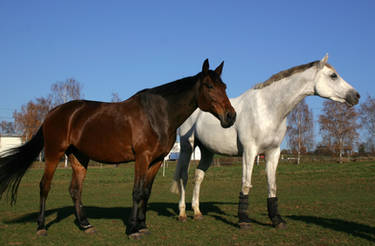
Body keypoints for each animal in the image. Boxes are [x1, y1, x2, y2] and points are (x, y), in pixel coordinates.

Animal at [0, 59, 236, 238]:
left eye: (225, 87)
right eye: (209, 86)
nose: (230, 116)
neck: (158, 114)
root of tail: (53, 112)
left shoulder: (156, 160)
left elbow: (146, 192)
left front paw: (143, 225)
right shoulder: (142, 157)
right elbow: (137, 191)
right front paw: (132, 229)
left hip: (79, 157)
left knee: (75, 190)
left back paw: (86, 225)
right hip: (53, 153)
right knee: (45, 186)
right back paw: (41, 227)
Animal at [173, 54, 362, 229]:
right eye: (333, 75)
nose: (356, 96)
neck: (267, 109)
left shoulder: (273, 152)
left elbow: (272, 186)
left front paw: (277, 220)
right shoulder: (249, 152)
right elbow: (246, 185)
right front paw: (244, 221)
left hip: (207, 151)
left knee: (198, 176)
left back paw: (197, 212)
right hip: (187, 147)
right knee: (183, 176)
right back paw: (182, 213)